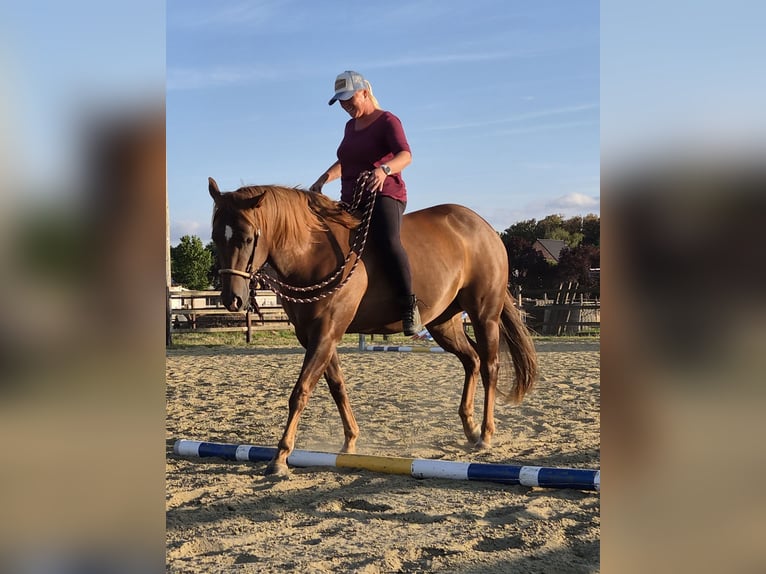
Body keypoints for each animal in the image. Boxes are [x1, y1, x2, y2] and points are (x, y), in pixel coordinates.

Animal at [207, 176, 537, 477]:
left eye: (247, 238)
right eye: (216, 237)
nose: (232, 299)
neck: (313, 252)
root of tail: (484, 228)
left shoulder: (326, 333)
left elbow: (300, 391)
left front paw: (280, 456)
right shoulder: (317, 336)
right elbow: (337, 386)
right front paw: (350, 441)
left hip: (484, 315)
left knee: (490, 366)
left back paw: (486, 434)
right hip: (445, 323)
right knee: (472, 360)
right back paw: (469, 428)